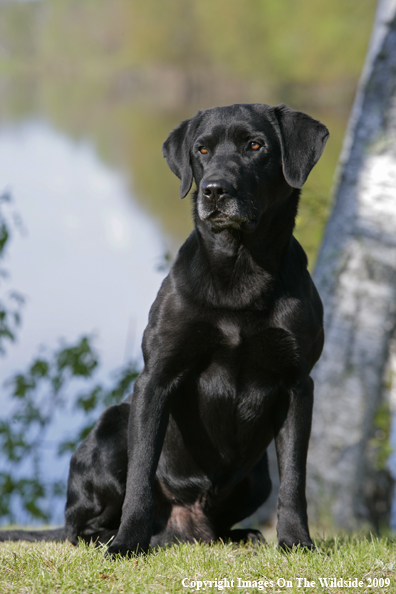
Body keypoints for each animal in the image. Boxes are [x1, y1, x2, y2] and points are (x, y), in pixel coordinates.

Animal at [0, 102, 328, 552]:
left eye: (255, 146)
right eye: (202, 149)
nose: (213, 190)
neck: (240, 272)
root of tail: (183, 530)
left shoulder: (298, 383)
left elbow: (295, 477)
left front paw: (295, 540)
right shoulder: (156, 376)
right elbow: (141, 472)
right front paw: (127, 543)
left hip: (257, 478)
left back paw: (241, 536)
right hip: (110, 429)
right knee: (78, 527)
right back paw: (118, 536)